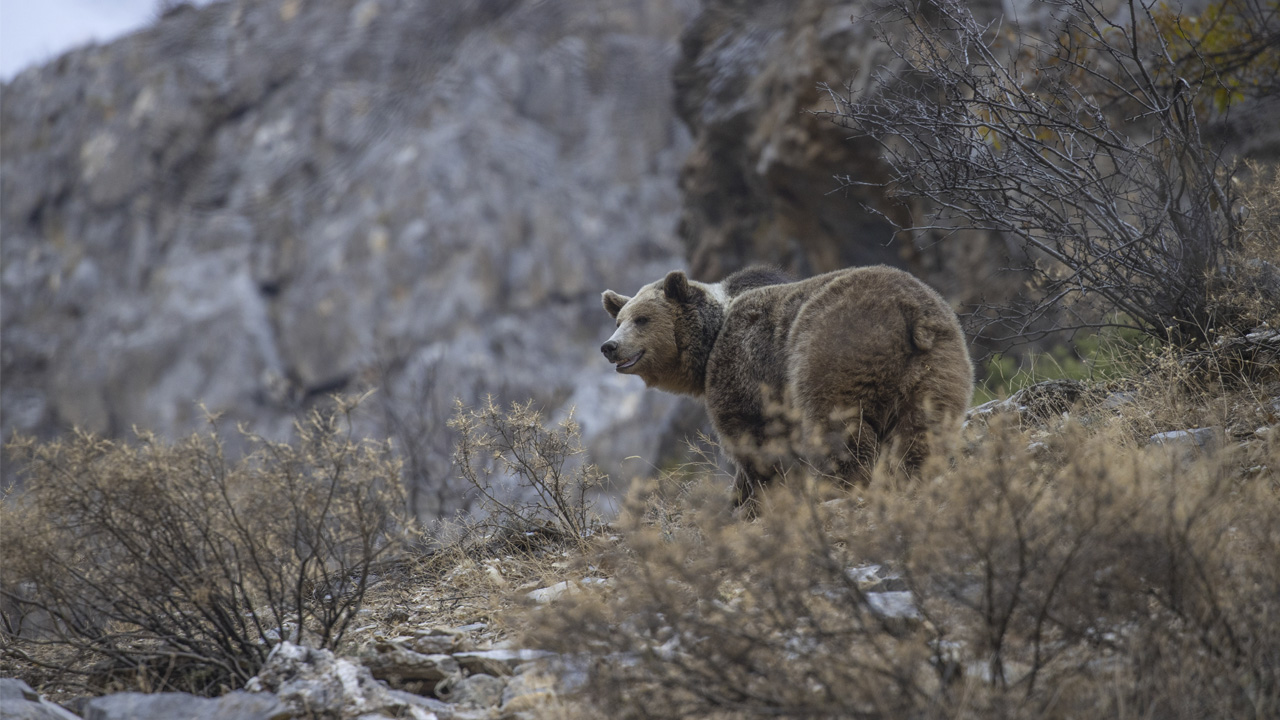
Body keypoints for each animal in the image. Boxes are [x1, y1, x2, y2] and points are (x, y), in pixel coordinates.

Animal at [599, 265, 967, 509]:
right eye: (619, 320)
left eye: (642, 319)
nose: (609, 346)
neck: (710, 342)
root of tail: (908, 310)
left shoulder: (743, 372)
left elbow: (754, 442)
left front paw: (753, 500)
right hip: (936, 366)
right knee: (923, 429)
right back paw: (916, 476)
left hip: (833, 352)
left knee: (840, 429)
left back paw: (845, 486)